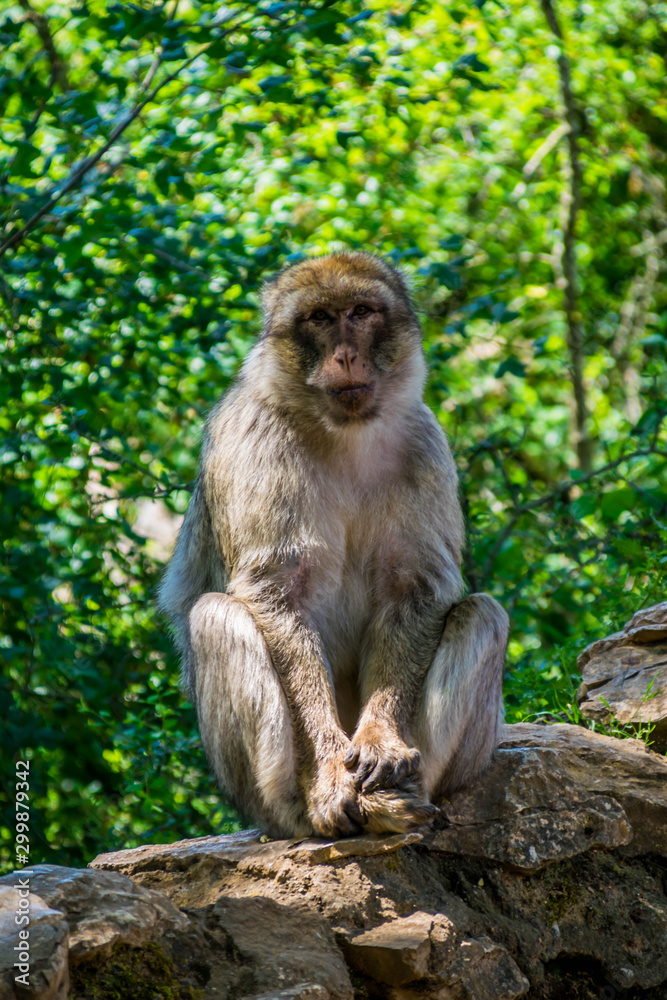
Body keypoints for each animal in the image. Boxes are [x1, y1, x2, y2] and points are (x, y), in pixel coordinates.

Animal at [159, 250, 508, 836]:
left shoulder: (425, 441)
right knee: (215, 617)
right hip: (257, 800)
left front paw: (381, 741)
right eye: (320, 319)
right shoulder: (253, 439)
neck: (341, 431)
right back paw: (316, 807)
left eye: (361, 312)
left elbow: (414, 588)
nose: (346, 354)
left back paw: (398, 798)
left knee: (484, 613)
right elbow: (276, 593)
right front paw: (328, 773)